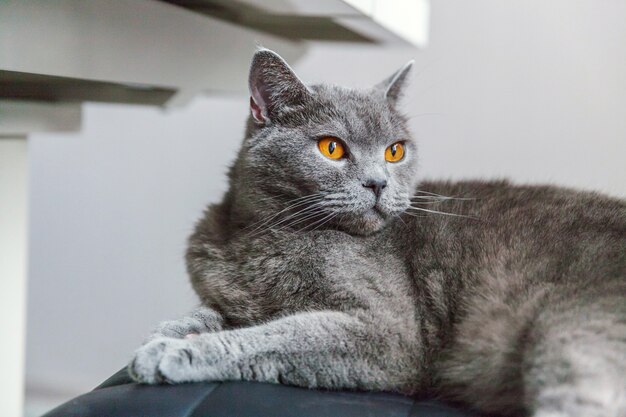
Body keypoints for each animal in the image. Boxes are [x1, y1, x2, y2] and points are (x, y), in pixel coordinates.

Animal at [128, 47, 624, 414]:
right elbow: (213, 312)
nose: (379, 183)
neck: (261, 235)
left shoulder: (388, 332)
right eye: (332, 148)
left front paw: (176, 353)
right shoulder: (239, 295)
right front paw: (162, 336)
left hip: (573, 334)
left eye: (395, 151)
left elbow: (277, 335)